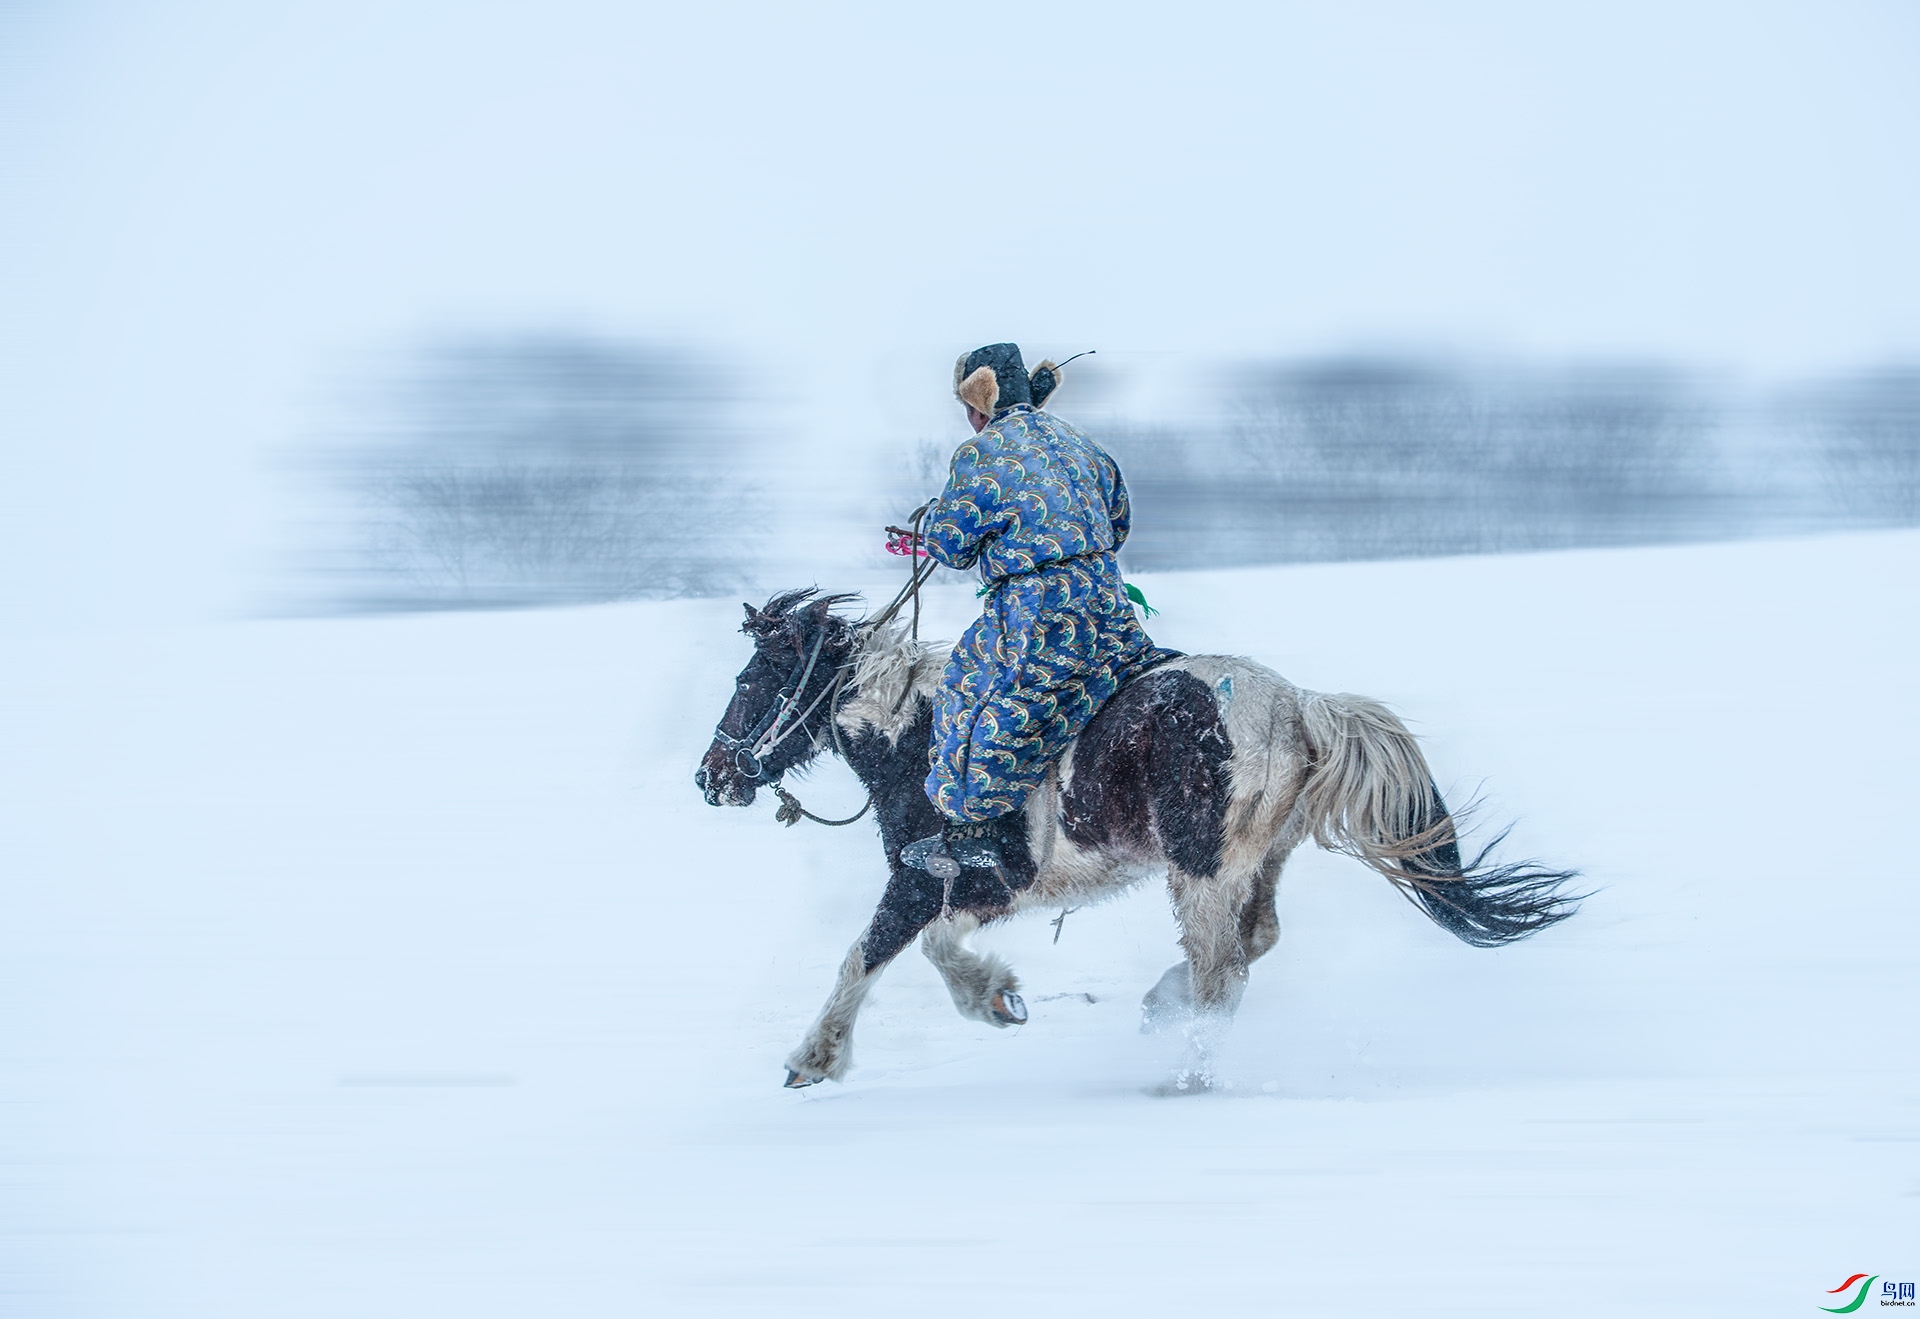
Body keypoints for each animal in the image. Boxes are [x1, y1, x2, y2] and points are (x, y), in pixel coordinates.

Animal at [698, 595, 1582, 1090]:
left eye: (747, 682)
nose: (711, 774)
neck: (913, 729)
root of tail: (1302, 708)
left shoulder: (943, 878)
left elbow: (874, 952)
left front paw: (814, 1059)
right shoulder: (974, 887)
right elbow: (926, 948)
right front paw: (997, 997)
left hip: (1203, 870)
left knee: (1224, 973)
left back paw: (1186, 1073)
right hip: (1253, 862)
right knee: (1254, 941)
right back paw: (1164, 1007)